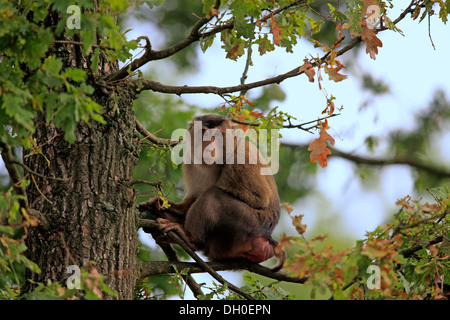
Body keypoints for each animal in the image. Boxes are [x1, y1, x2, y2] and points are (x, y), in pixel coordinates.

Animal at [138, 114, 284, 272]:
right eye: (204, 134)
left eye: (217, 136)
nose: (209, 148)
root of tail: (268, 237)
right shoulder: (190, 162)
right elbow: (191, 201)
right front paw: (158, 205)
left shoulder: (241, 158)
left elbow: (259, 199)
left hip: (251, 223)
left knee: (213, 195)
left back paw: (190, 239)